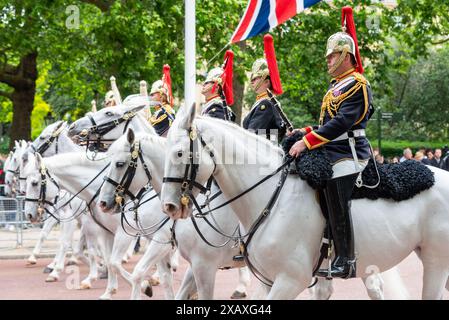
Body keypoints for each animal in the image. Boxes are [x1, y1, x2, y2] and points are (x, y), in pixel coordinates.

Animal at [159, 103, 446, 300]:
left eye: (180, 152)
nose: (169, 207)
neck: (270, 196)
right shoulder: (266, 278)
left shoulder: (289, 279)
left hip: (435, 260)